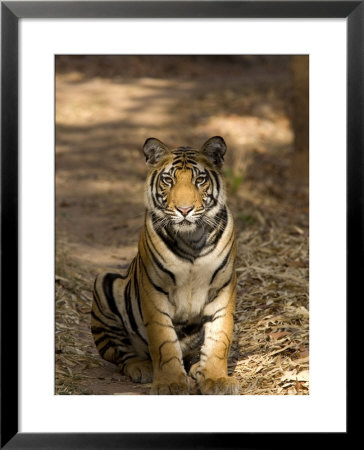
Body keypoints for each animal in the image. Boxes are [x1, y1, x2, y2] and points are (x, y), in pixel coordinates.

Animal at [90, 136, 239, 394]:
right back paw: (142, 368)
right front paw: (170, 383)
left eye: (199, 180)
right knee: (121, 353)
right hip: (104, 283)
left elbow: (220, 339)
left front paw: (216, 379)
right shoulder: (154, 291)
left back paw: (196, 367)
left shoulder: (223, 289)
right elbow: (164, 342)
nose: (184, 210)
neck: (192, 241)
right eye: (169, 180)